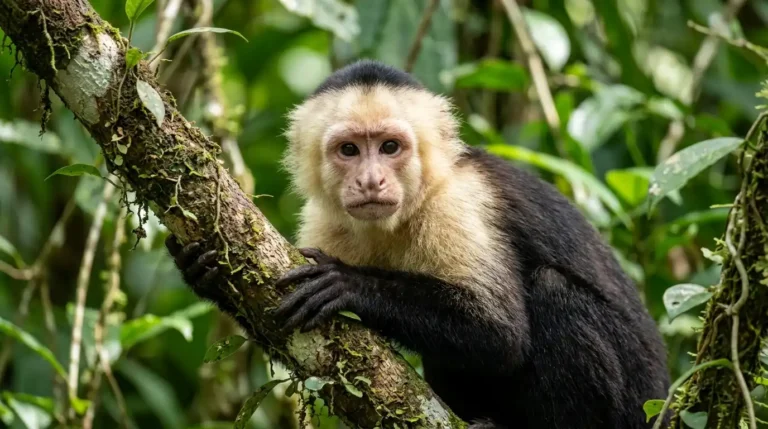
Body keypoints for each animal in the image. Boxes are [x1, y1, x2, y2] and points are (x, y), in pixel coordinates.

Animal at [166, 59, 670, 428]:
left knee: (553, 290)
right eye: (349, 150)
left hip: (633, 408)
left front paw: (348, 284)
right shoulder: (325, 222)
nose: (371, 180)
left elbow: (499, 333)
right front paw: (202, 270)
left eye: (390, 147)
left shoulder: (457, 204)